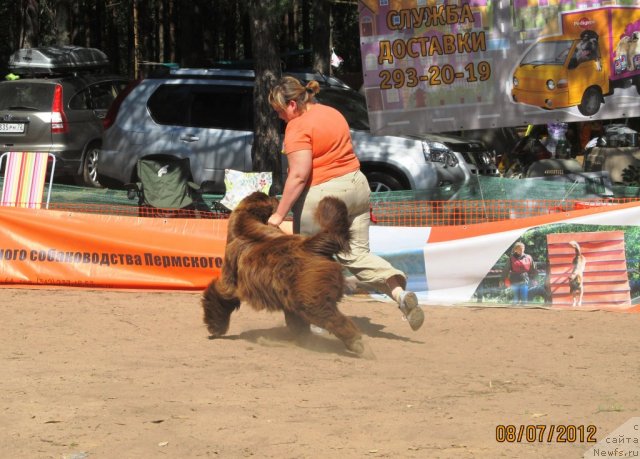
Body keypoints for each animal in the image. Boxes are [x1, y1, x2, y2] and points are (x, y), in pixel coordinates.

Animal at [202, 192, 368, 358]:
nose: (275, 196)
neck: (245, 224)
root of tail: (312, 245)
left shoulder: (231, 272)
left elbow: (221, 294)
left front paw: (215, 327)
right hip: (295, 290)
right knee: (301, 315)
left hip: (308, 287)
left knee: (324, 313)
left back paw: (355, 343)